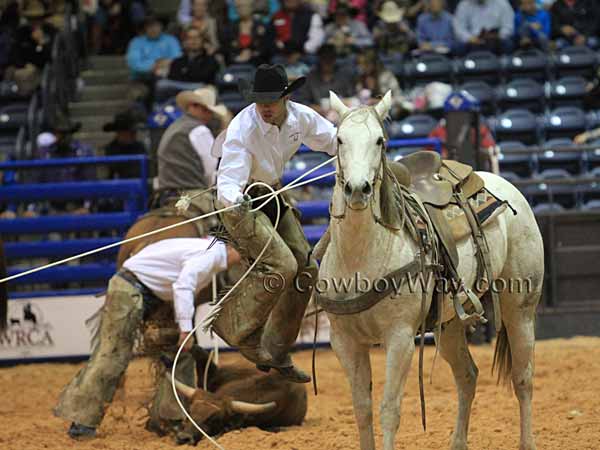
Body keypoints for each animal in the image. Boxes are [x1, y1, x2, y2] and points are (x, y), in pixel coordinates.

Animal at [318, 89, 544, 450]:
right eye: (339, 140)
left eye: (380, 140)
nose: (357, 189)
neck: (360, 255)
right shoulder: (344, 341)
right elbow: (362, 409)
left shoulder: (399, 338)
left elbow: (389, 409)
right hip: (449, 324)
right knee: (467, 376)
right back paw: (458, 442)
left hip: (520, 308)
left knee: (523, 378)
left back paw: (527, 441)